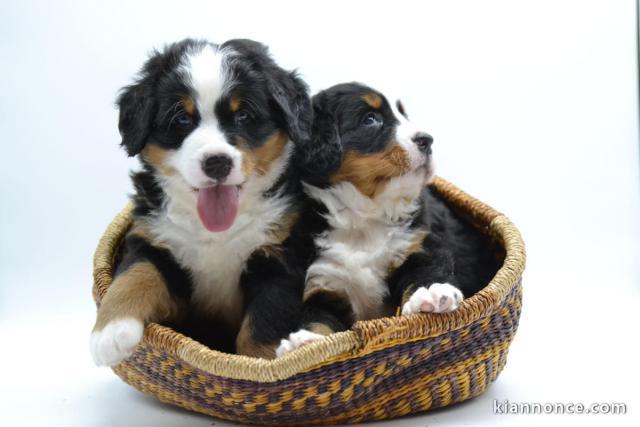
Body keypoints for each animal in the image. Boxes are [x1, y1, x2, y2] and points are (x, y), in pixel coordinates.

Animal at [91, 38, 312, 366]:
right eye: (182, 118)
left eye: (243, 116)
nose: (216, 162)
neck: (215, 236)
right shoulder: (153, 239)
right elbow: (135, 274)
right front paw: (110, 332)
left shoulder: (280, 257)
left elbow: (263, 326)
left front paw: (262, 366)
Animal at [278, 82, 502, 356]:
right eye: (370, 119)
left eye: (404, 115)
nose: (427, 139)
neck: (364, 219)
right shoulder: (322, 281)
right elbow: (318, 318)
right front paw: (307, 341)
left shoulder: (420, 245)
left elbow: (426, 271)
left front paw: (431, 293)